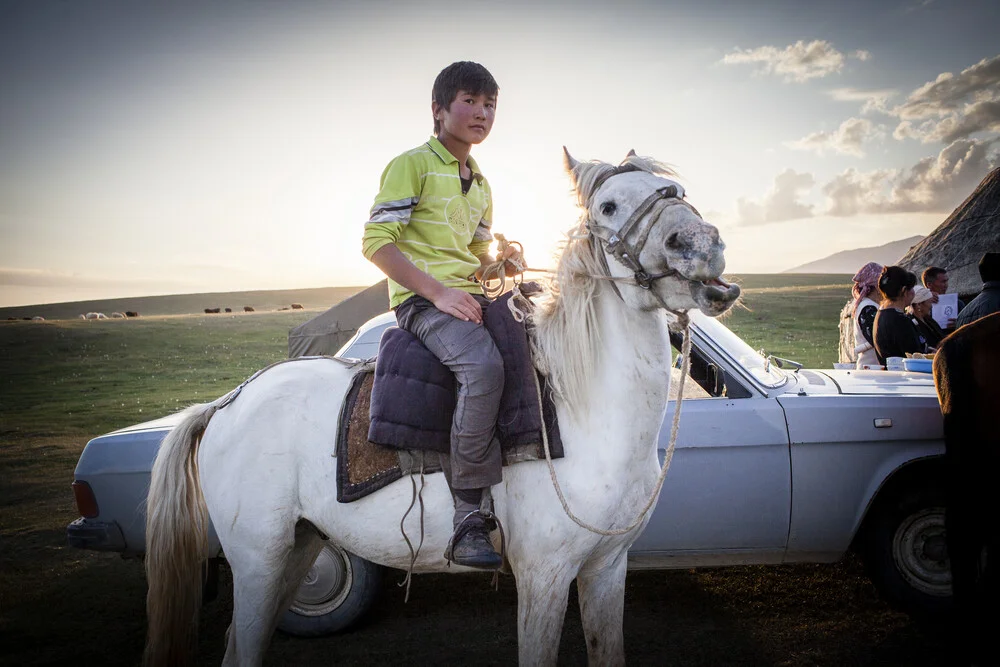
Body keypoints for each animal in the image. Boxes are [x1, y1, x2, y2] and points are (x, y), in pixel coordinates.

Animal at [146, 151, 744, 667]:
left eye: (674, 190)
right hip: (258, 559)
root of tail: (225, 404)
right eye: (609, 206)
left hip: (299, 548)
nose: (700, 244)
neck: (585, 409)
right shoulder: (545, 575)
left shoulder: (606, 570)